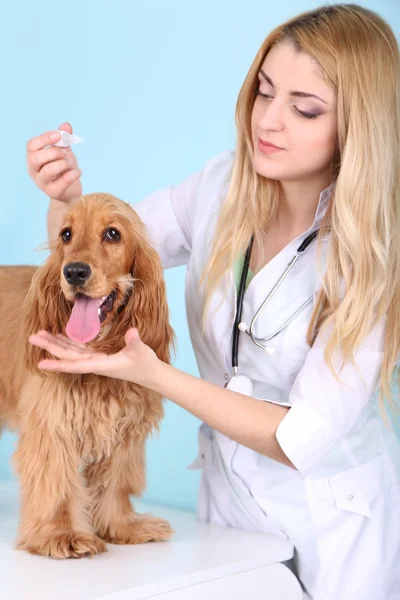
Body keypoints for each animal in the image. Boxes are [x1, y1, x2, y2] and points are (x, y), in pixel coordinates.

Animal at [0, 193, 175, 556]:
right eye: (66, 234)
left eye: (112, 234)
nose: (74, 271)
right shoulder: (53, 424)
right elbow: (57, 484)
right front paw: (61, 534)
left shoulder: (125, 430)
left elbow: (114, 484)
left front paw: (121, 526)